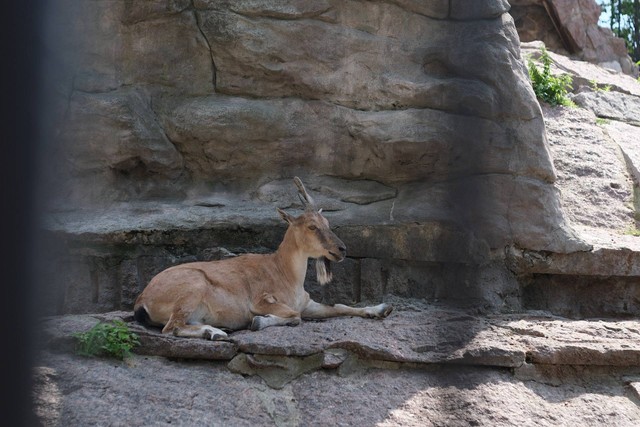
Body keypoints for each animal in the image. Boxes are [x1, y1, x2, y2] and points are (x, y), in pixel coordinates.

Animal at [133, 177, 392, 342]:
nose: (342, 249)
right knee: (171, 328)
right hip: (191, 288)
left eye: (327, 223)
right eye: (312, 226)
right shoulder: (261, 301)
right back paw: (215, 332)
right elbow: (294, 317)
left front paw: (382, 309)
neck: (284, 272)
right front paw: (258, 322)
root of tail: (142, 300)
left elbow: (338, 307)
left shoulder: (307, 303)